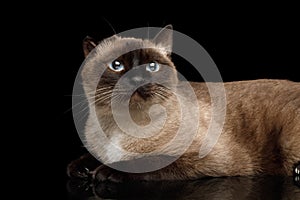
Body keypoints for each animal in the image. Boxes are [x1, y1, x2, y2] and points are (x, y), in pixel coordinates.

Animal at [68, 25, 300, 183]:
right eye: (116, 65)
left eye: (152, 66)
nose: (137, 80)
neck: (121, 126)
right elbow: (83, 161)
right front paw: (82, 169)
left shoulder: (208, 158)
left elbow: (146, 161)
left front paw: (104, 172)